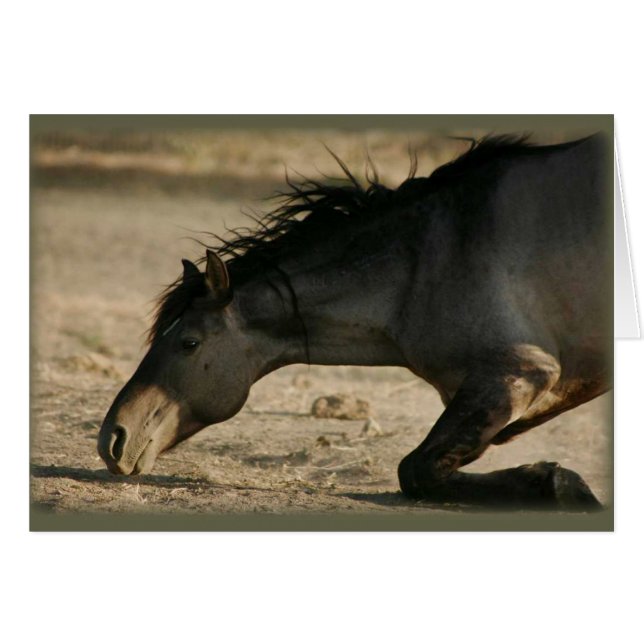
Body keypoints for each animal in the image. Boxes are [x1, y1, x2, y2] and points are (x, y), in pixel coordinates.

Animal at [98, 134, 612, 510]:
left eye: (188, 343)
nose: (112, 439)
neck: (425, 260)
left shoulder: (516, 374)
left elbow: (416, 470)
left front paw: (562, 485)